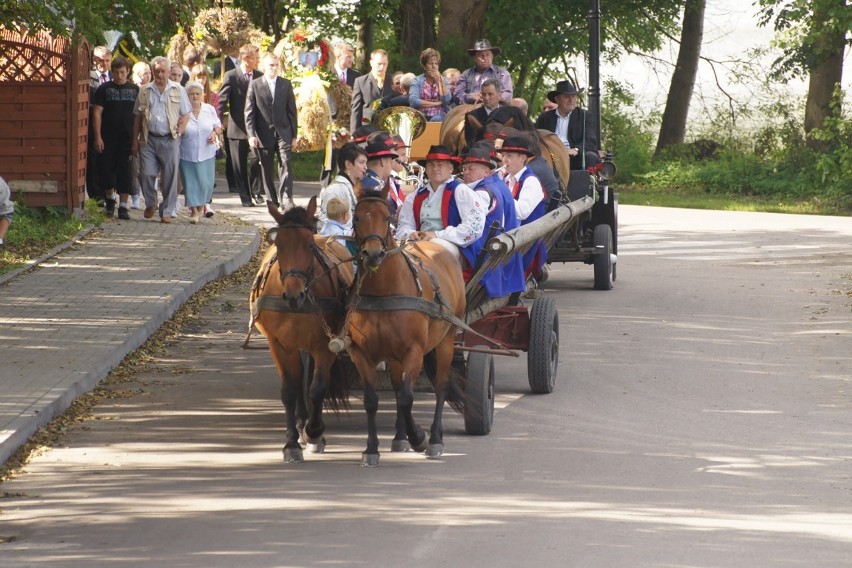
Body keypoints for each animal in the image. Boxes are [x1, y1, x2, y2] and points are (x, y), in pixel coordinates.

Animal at [248, 197, 354, 464]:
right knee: (298, 381)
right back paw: (300, 421)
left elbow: (317, 388)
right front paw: (291, 443)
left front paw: (314, 433)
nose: (293, 295)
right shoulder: (279, 345)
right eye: (279, 245)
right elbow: (289, 390)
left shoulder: (325, 344)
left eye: (308, 245)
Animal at [346, 187, 466, 466]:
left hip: (446, 341)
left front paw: (419, 437)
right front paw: (371, 449)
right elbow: (373, 400)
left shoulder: (414, 351)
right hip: (394, 356)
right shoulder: (361, 353)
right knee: (399, 385)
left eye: (387, 216)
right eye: (357, 217)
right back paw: (400, 437)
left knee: (441, 386)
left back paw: (435, 439)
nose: (373, 254)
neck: (383, 293)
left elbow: (406, 398)